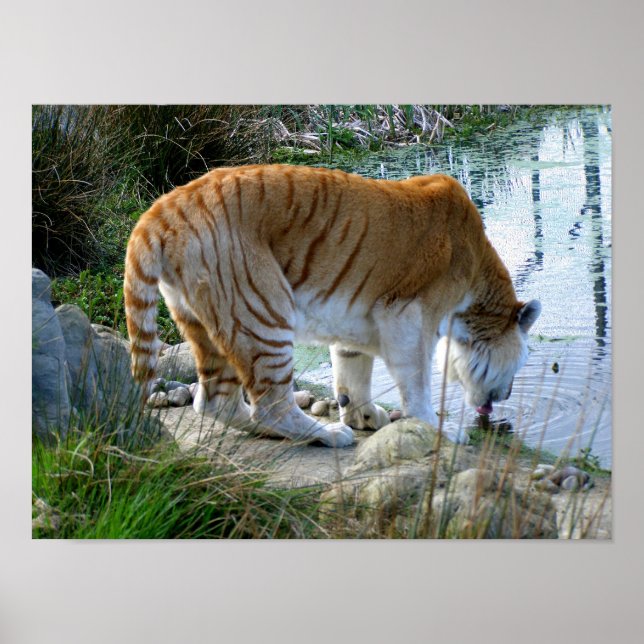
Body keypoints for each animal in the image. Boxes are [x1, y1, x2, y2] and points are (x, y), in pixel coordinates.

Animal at [124, 164, 540, 447]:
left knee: (216, 402)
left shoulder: (357, 324)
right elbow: (417, 380)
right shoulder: (409, 316)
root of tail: (164, 207)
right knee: (270, 403)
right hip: (262, 312)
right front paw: (438, 426)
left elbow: (351, 374)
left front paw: (364, 415)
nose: (505, 396)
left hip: (204, 321)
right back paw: (326, 434)